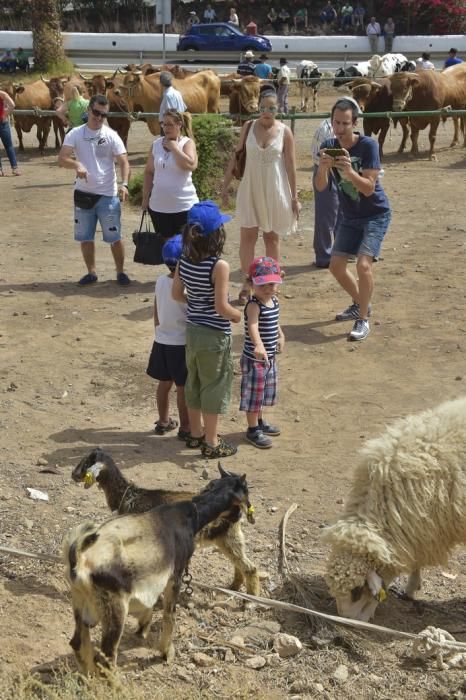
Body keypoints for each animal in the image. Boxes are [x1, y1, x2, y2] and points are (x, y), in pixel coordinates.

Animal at [63, 470, 253, 672]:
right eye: (246, 491)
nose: (238, 517)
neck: (192, 515)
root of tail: (79, 557)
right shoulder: (175, 575)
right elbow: (170, 614)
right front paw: (166, 651)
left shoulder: (155, 575)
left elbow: (152, 601)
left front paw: (142, 628)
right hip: (115, 607)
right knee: (106, 657)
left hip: (79, 601)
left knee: (77, 643)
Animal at [73, 448, 260, 596]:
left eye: (86, 462)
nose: (73, 475)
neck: (129, 496)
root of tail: (237, 508)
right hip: (227, 538)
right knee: (240, 564)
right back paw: (234, 587)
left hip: (227, 537)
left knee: (250, 568)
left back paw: (249, 601)